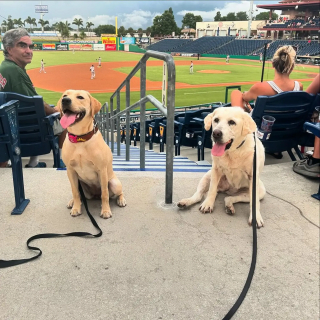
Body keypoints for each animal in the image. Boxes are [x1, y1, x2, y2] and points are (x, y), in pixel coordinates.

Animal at [57, 90, 126, 220]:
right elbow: (75, 192)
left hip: (114, 183)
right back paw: (72, 202)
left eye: (80, 97)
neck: (80, 138)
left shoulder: (102, 170)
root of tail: (95, 195)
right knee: (79, 195)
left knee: (118, 192)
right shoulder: (70, 171)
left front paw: (105, 211)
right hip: (81, 185)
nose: (65, 100)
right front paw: (76, 208)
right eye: (64, 95)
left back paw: (121, 200)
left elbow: (105, 194)